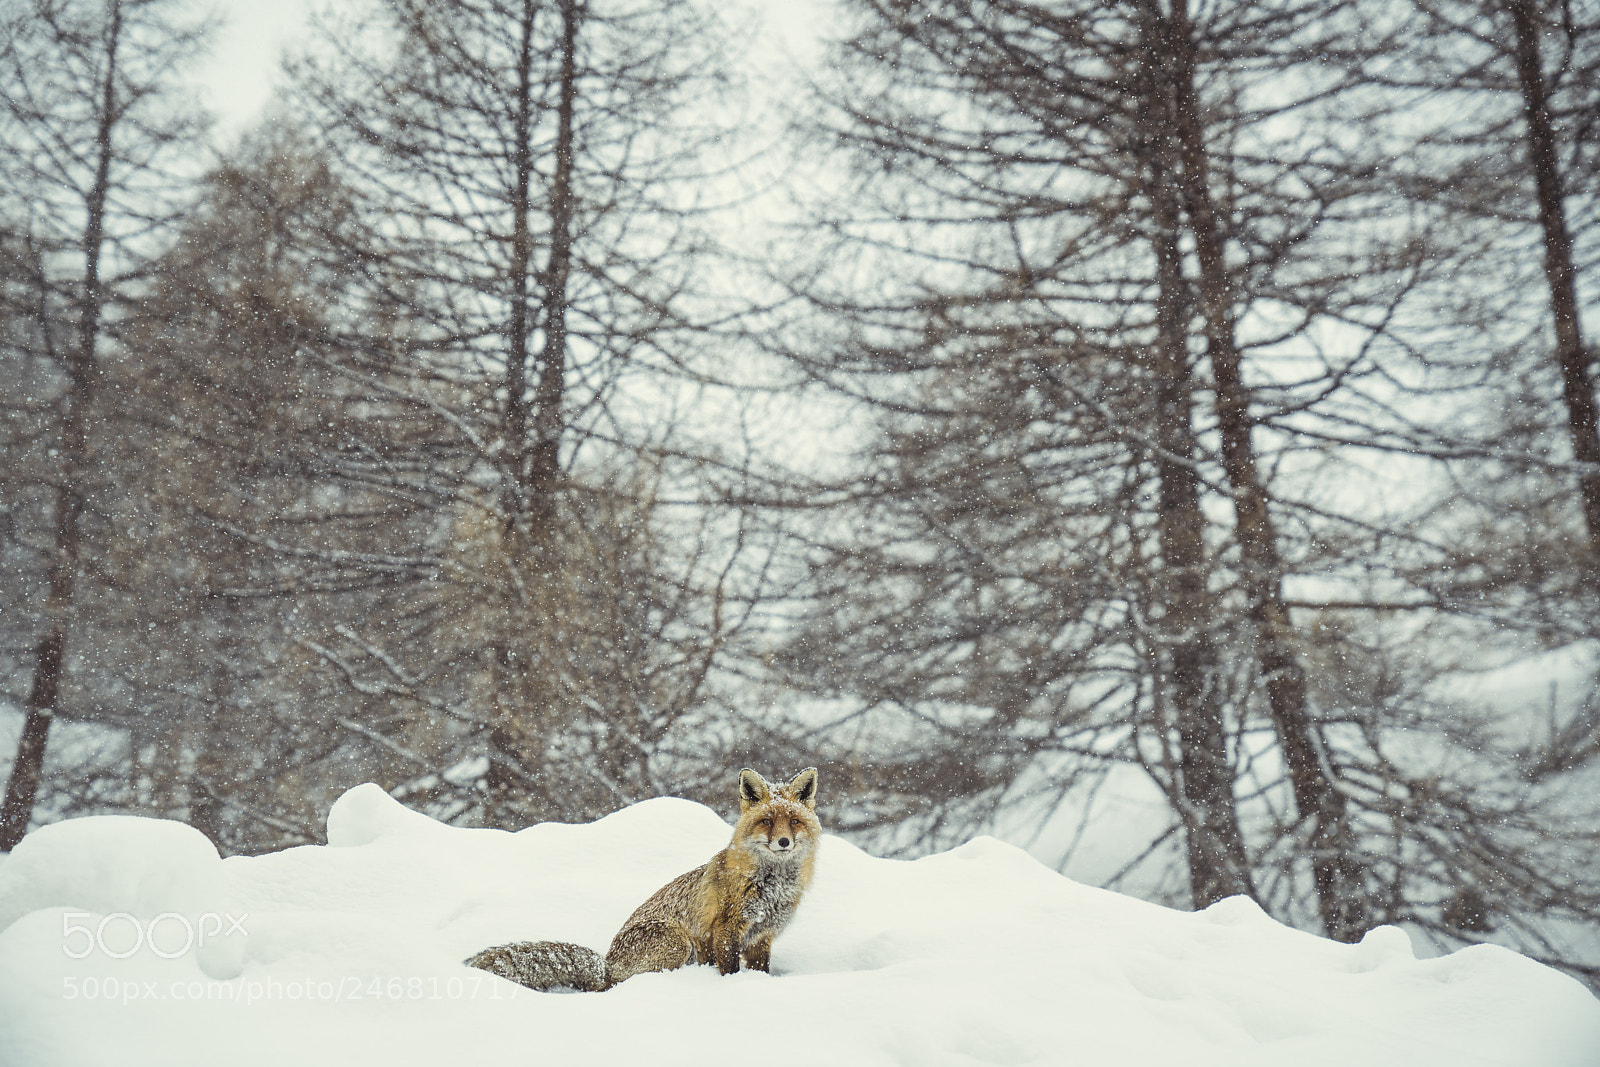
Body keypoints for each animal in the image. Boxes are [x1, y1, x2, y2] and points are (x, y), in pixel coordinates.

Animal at [465, 767, 820, 992]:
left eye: (793, 821)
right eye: (767, 821)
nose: (783, 842)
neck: (771, 887)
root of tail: (607, 965)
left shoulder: (763, 936)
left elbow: (761, 969)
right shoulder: (725, 928)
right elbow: (729, 968)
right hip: (678, 942)